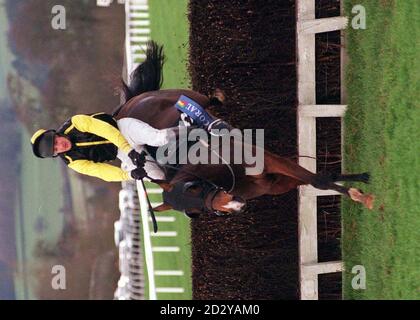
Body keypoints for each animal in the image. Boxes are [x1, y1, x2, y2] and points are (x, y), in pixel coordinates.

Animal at [112, 39, 374, 215]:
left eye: (193, 189)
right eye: (194, 212)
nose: (236, 205)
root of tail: (129, 104)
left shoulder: (271, 161)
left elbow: (319, 180)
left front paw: (360, 194)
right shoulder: (276, 182)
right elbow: (319, 179)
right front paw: (357, 182)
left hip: (188, 97)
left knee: (209, 99)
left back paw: (218, 98)